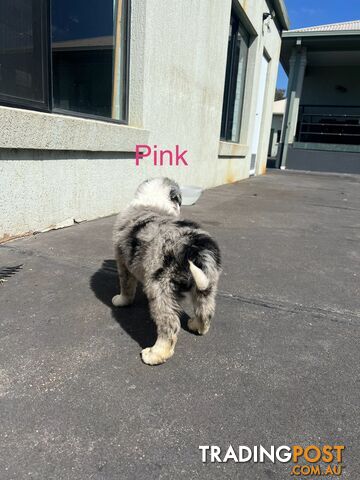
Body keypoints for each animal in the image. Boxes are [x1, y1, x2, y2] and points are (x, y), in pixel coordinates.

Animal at [112, 178, 221, 366]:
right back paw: (196, 326)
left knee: (169, 324)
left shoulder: (123, 262)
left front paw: (121, 300)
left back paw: (155, 354)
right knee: (205, 311)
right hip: (207, 282)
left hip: (160, 288)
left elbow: (126, 286)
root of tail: (192, 246)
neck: (154, 201)